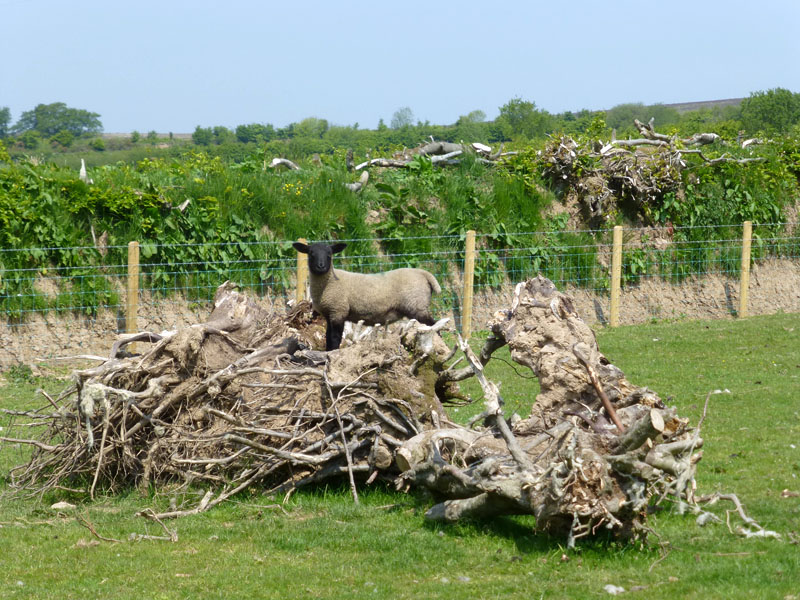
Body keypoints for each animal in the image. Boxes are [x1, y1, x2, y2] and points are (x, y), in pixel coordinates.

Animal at [292, 240, 440, 352]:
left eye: (329, 254)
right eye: (311, 254)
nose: (321, 266)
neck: (330, 283)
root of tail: (424, 274)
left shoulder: (339, 310)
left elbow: (335, 337)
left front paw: (332, 352)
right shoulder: (330, 314)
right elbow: (328, 336)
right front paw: (328, 351)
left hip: (417, 306)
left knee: (434, 325)